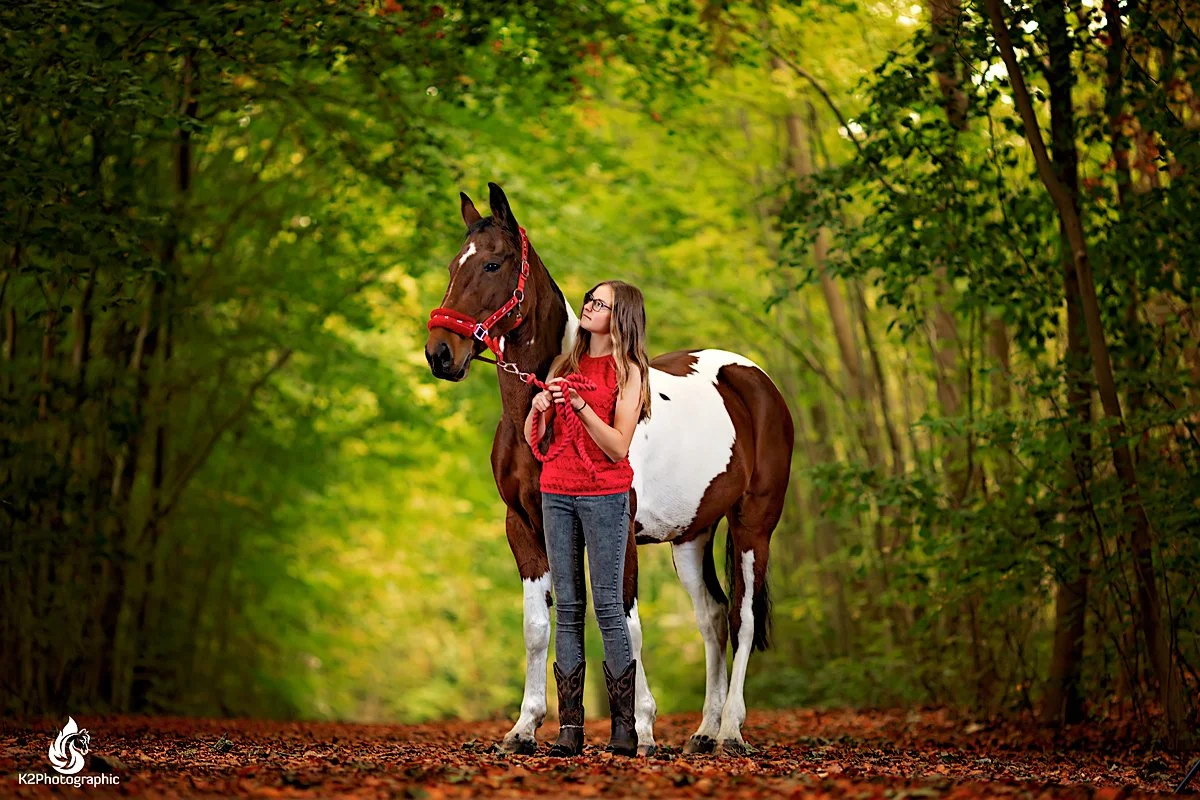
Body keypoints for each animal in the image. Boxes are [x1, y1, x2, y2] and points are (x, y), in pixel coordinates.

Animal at [424, 182, 795, 756]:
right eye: (451, 265)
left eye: (492, 263)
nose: (440, 353)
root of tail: (755, 381)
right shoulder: (525, 526)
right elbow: (539, 624)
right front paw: (524, 728)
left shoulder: (617, 527)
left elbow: (625, 620)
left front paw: (640, 729)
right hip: (692, 533)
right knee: (712, 617)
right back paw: (705, 731)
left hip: (755, 521)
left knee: (743, 617)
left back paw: (731, 730)